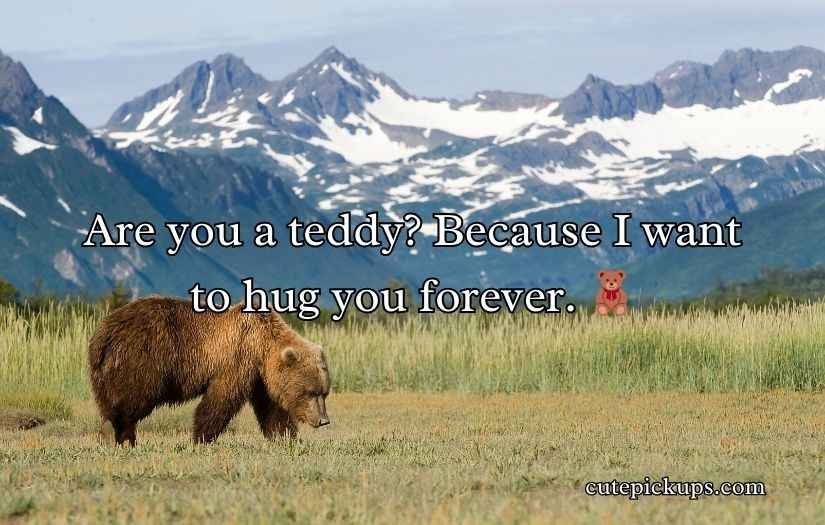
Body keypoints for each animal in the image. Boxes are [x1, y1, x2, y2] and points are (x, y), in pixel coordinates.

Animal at [88, 296, 330, 446]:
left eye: (324, 392)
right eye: (311, 392)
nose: (324, 420)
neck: (261, 345)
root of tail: (102, 332)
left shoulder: (260, 378)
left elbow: (272, 409)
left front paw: (287, 438)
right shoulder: (236, 359)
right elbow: (220, 400)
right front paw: (201, 438)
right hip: (143, 360)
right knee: (131, 399)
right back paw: (117, 434)